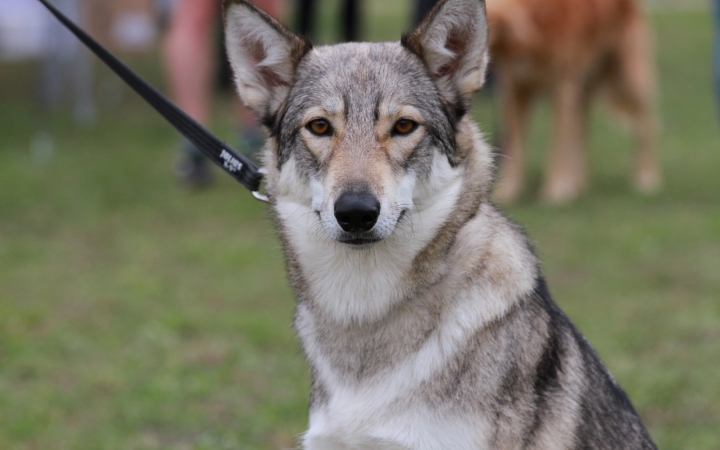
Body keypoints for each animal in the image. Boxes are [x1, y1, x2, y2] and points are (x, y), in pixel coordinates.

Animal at [486, 0, 660, 202]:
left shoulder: (562, 87)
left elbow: (558, 145)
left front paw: (556, 190)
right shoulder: (516, 88)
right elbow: (515, 144)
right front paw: (509, 193)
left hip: (627, 80)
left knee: (646, 125)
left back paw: (647, 177)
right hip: (582, 91)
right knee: (582, 134)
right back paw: (579, 183)